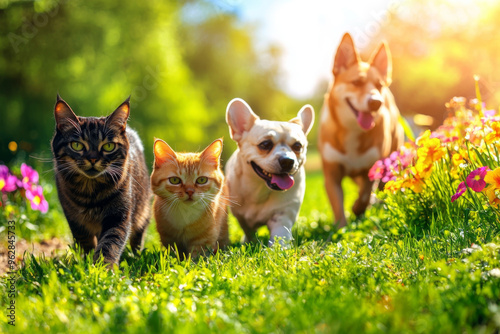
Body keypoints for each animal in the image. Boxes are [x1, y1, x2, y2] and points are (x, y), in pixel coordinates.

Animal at [52, 95, 152, 264]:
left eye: (109, 146)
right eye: (77, 145)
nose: (93, 159)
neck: (90, 192)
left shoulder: (119, 217)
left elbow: (110, 244)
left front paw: (103, 267)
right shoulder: (74, 218)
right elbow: (85, 241)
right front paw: (87, 261)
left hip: (142, 211)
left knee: (138, 237)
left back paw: (136, 255)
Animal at [226, 98, 314, 244]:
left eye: (297, 146)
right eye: (265, 144)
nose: (287, 160)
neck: (260, 189)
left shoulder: (282, 215)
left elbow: (280, 236)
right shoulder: (241, 217)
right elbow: (247, 230)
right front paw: (247, 242)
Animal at [318, 33, 404, 227]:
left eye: (379, 85)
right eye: (357, 82)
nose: (376, 102)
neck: (352, 130)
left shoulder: (372, 168)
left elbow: (365, 195)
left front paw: (358, 208)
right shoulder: (332, 172)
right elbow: (337, 203)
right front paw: (341, 226)